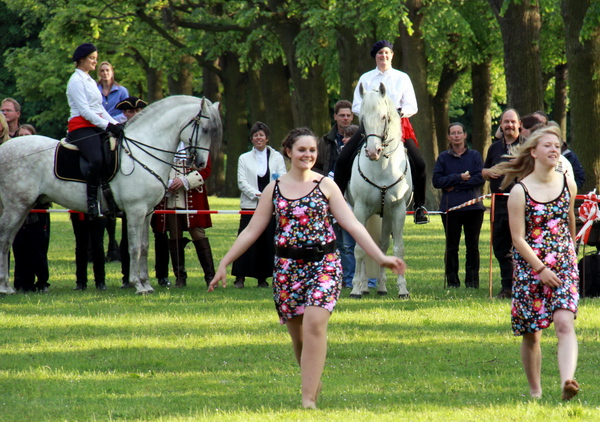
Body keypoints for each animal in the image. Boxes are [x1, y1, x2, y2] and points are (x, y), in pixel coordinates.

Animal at [0, 94, 221, 296]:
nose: (201, 163)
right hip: (16, 207)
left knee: (8, 240)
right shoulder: (135, 211)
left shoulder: (147, 212)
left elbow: (144, 246)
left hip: (23, 209)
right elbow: (134, 247)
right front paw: (138, 285)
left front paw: (146, 284)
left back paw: (8, 286)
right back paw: (4, 287)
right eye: (205, 129)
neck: (141, 152)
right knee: (4, 239)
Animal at [346, 84, 412, 298]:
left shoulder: (398, 211)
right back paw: (363, 287)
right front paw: (356, 289)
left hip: (385, 215)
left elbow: (398, 249)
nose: (373, 151)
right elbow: (360, 249)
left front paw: (403, 289)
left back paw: (381, 287)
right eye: (362, 118)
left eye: (384, 117)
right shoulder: (360, 209)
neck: (382, 166)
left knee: (381, 246)